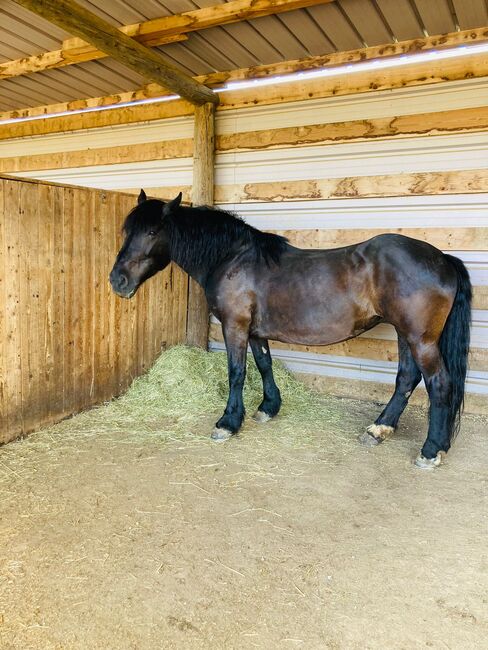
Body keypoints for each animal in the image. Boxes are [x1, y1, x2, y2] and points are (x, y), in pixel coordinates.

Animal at [108, 190, 470, 468]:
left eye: (152, 233)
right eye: (127, 231)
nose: (118, 281)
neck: (232, 259)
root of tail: (443, 259)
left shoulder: (235, 326)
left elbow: (237, 372)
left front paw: (228, 422)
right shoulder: (256, 332)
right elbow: (264, 365)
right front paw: (268, 408)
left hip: (420, 338)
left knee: (439, 383)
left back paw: (430, 450)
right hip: (403, 333)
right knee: (406, 378)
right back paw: (379, 430)